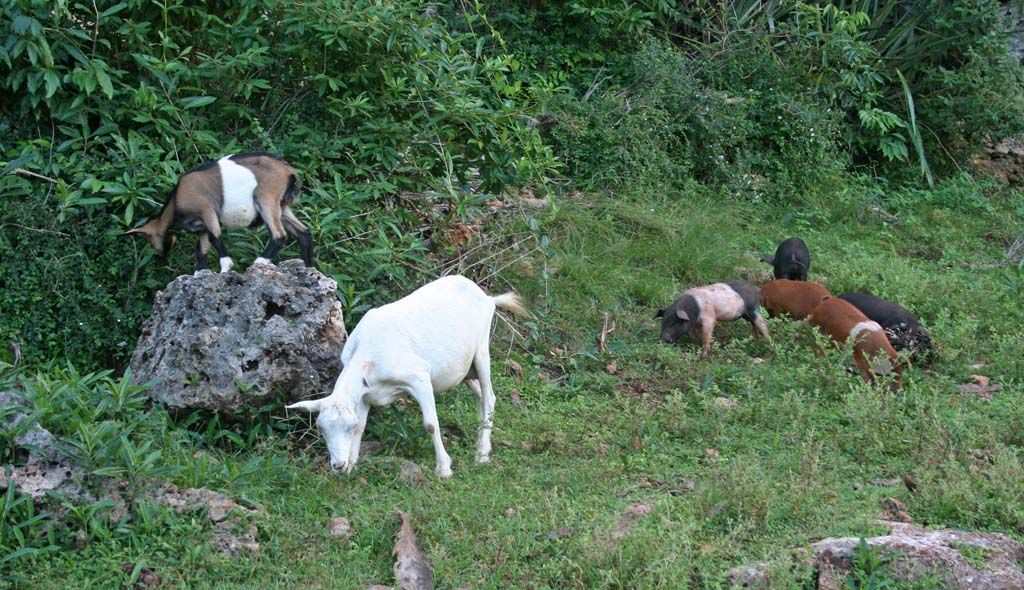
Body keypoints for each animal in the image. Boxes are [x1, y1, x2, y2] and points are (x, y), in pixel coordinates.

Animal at [127, 153, 314, 272]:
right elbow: (202, 250)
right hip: (282, 207)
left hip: (266, 198)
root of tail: (289, 171)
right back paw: (309, 269)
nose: (162, 257)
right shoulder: (201, 227)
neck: (176, 202)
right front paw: (199, 274)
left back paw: (259, 262)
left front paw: (226, 268)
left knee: (279, 234)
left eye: (150, 240)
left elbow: (216, 238)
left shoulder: (207, 210)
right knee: (304, 232)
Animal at [287, 275, 526, 478]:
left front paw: (444, 469)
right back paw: (482, 442)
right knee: (480, 396)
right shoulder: (365, 394)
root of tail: (488, 297)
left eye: (348, 427)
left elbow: (430, 424)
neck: (367, 354)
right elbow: (363, 425)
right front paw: (352, 465)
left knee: (489, 396)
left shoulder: (419, 377)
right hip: (464, 369)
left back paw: (482, 454)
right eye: (321, 428)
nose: (338, 465)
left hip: (482, 352)